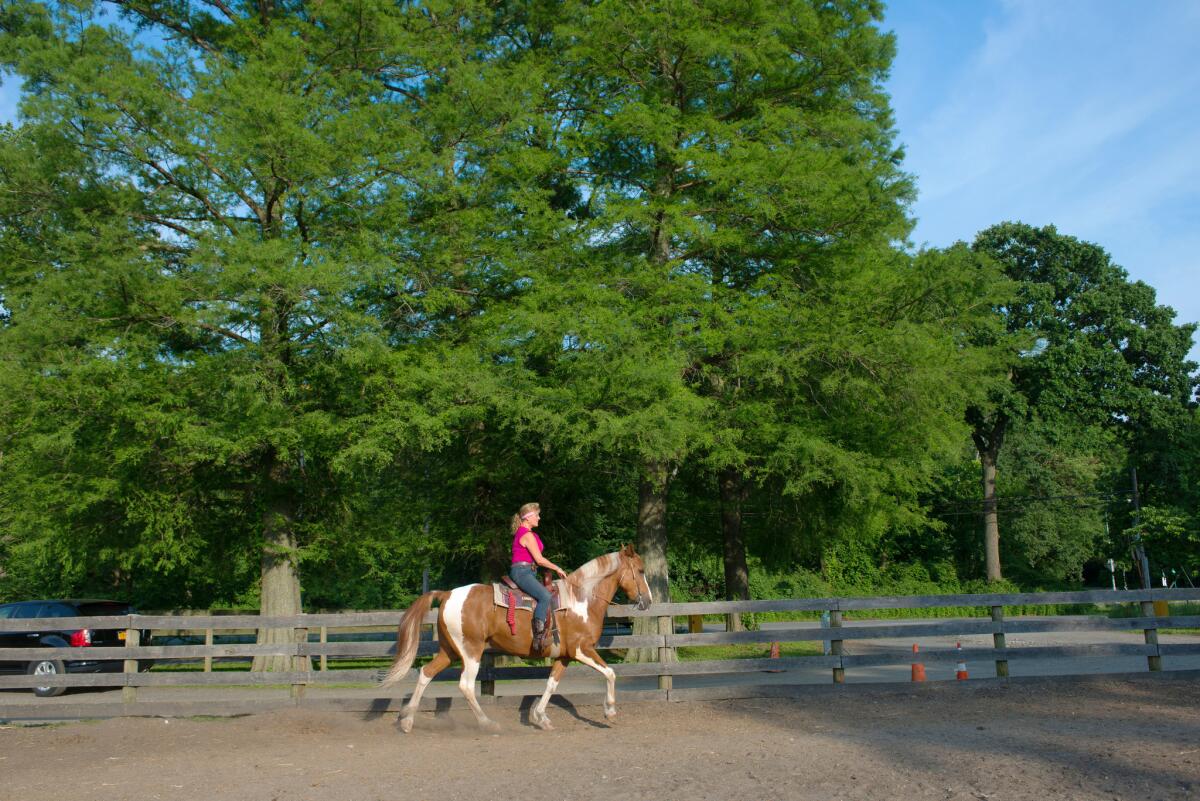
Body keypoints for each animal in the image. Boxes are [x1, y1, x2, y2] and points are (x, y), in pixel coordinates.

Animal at [379, 544, 652, 733]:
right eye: (640, 571)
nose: (648, 602)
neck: (581, 600)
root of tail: (447, 594)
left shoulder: (564, 656)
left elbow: (551, 684)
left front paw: (541, 718)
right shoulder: (581, 649)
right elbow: (610, 673)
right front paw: (610, 711)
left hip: (450, 651)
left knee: (426, 673)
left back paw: (407, 720)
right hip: (471, 651)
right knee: (466, 685)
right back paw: (488, 723)